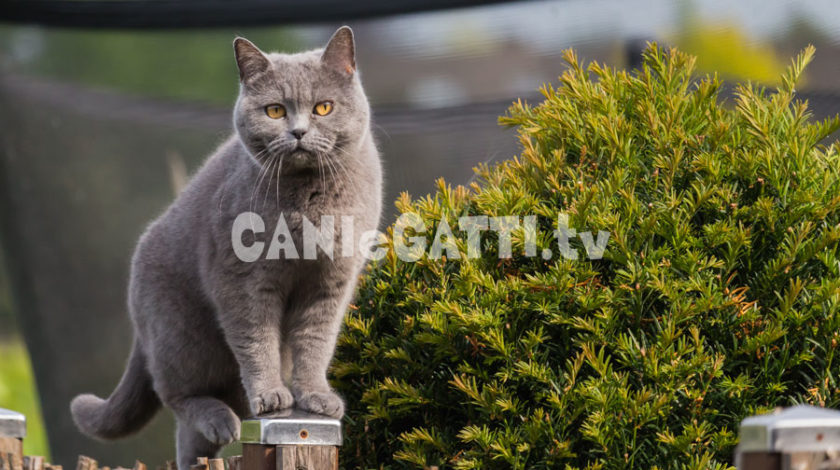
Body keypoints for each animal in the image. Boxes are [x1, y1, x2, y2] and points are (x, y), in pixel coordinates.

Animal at [69, 26, 384, 470]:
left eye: (323, 107)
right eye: (274, 111)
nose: (299, 132)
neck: (307, 202)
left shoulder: (331, 281)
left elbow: (316, 341)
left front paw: (315, 397)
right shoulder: (241, 279)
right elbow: (256, 339)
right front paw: (271, 396)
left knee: (190, 437)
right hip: (183, 333)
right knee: (176, 394)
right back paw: (221, 419)